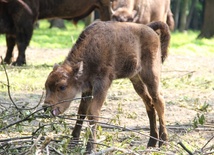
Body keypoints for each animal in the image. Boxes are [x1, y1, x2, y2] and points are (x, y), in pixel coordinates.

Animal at [43, 20, 171, 154]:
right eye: (46, 86)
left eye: (62, 86)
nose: (46, 106)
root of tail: (149, 28)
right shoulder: (88, 89)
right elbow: (81, 112)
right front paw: (72, 143)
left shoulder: (102, 85)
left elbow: (92, 113)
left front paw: (90, 148)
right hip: (136, 79)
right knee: (149, 104)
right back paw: (151, 143)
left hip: (151, 76)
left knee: (159, 101)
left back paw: (164, 142)